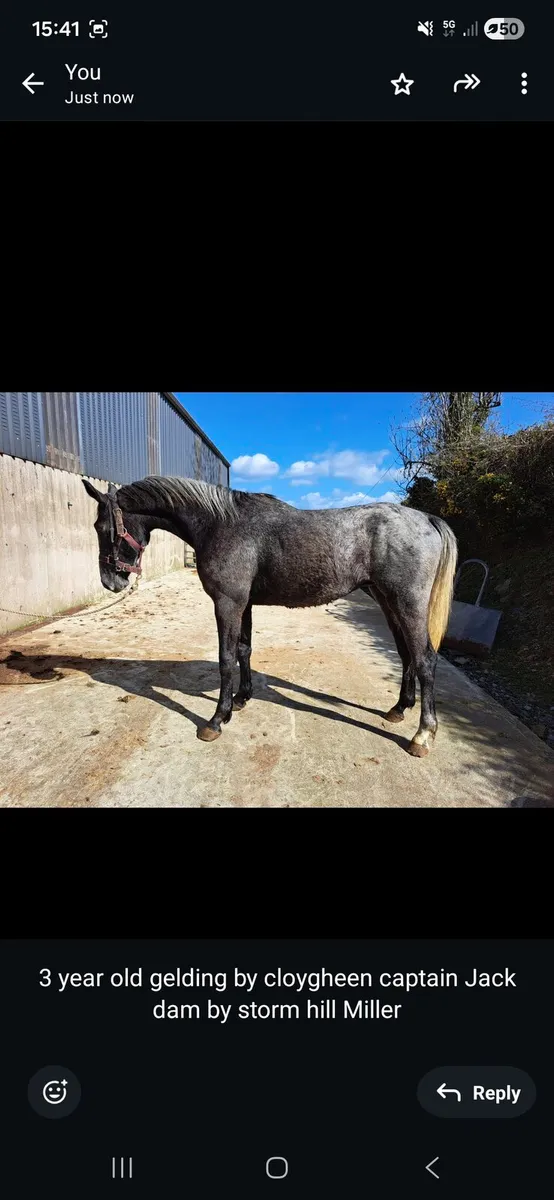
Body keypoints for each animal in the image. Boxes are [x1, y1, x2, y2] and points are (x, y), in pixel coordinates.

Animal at [83, 476, 457, 757]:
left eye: (102, 527)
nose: (110, 581)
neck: (219, 524)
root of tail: (426, 519)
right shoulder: (243, 604)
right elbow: (244, 650)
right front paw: (241, 699)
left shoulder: (227, 603)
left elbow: (225, 658)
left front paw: (216, 720)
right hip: (388, 602)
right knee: (407, 655)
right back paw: (399, 709)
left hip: (407, 603)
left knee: (425, 659)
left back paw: (423, 735)